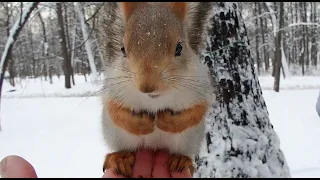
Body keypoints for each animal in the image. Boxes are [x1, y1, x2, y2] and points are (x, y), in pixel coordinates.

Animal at [97, 2, 215, 177]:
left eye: (179, 48)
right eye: (122, 49)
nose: (147, 86)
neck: (155, 99)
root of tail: (154, 147)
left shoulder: (200, 89)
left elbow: (198, 110)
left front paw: (168, 122)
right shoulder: (114, 90)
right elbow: (114, 110)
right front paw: (141, 125)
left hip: (190, 139)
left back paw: (182, 159)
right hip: (117, 135)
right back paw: (120, 158)